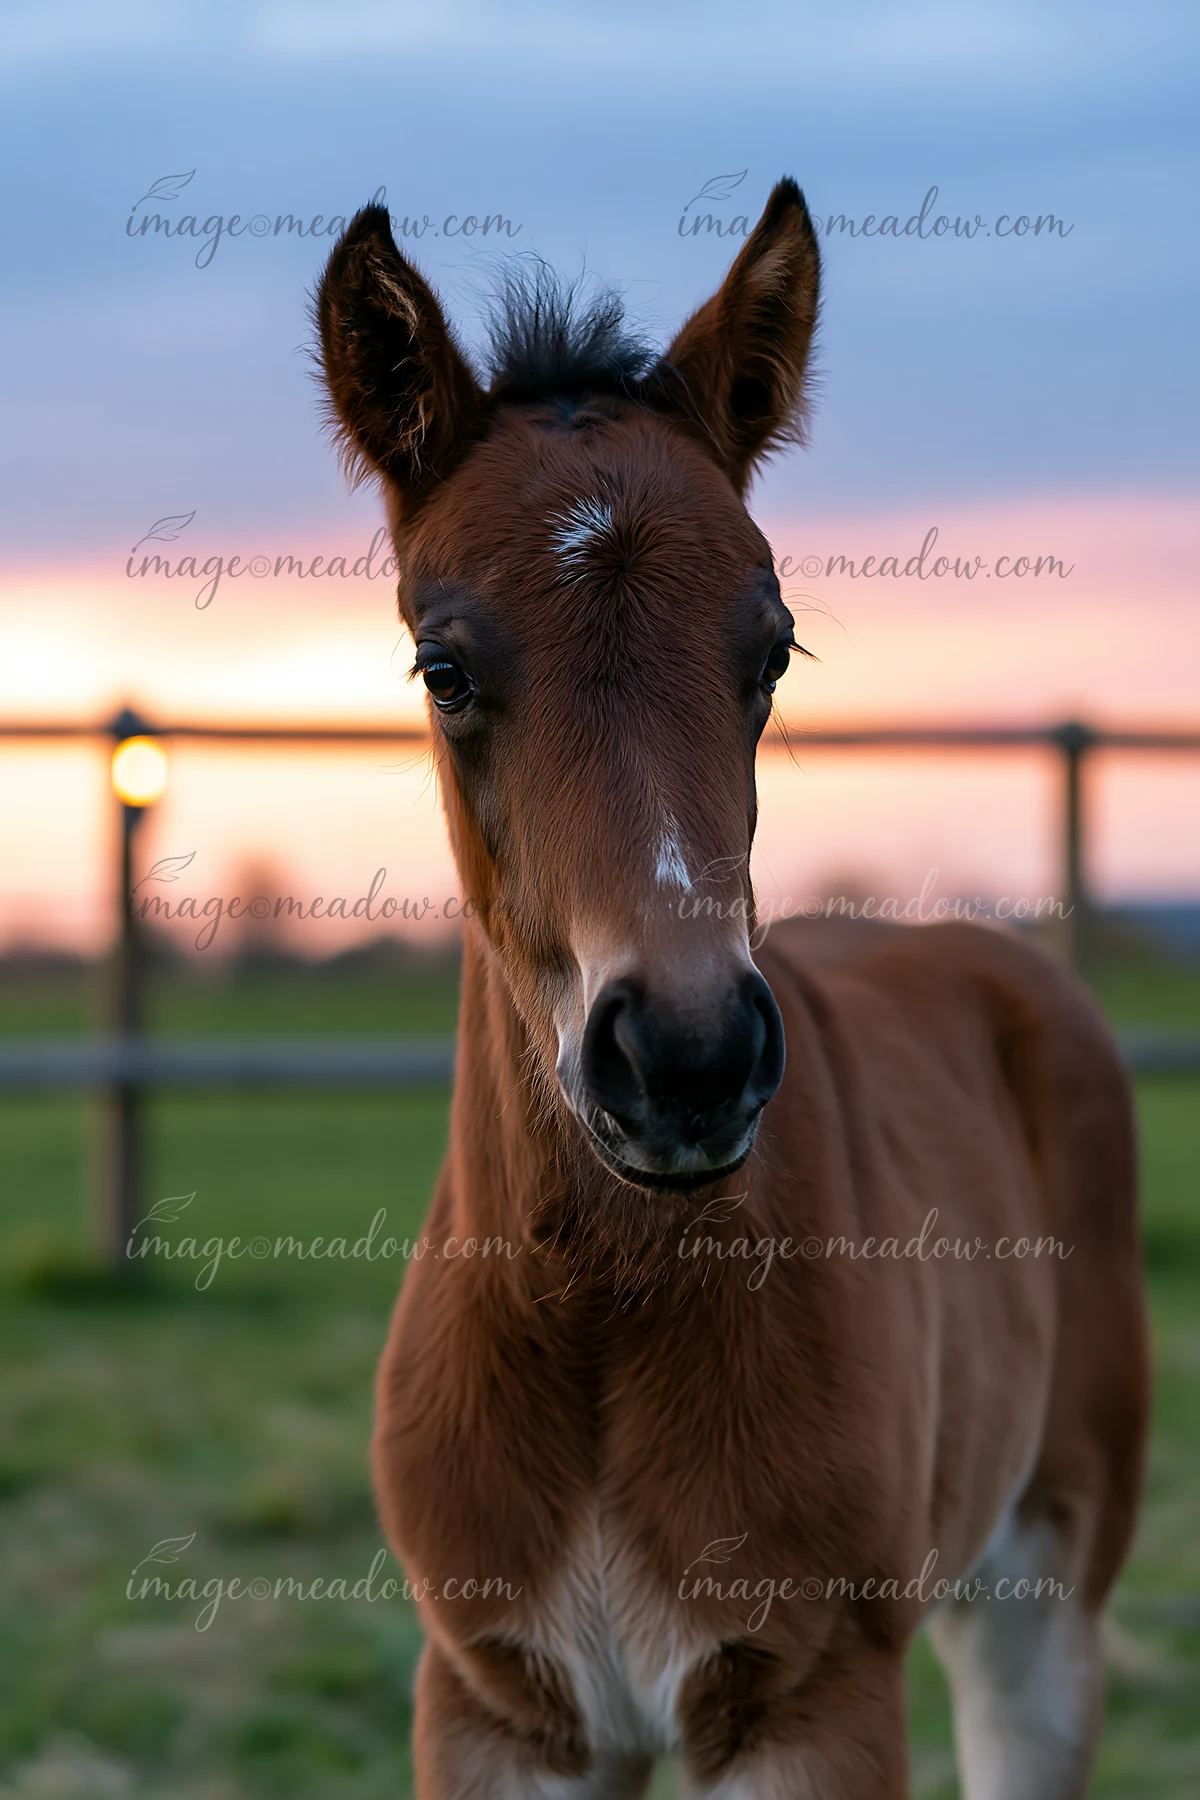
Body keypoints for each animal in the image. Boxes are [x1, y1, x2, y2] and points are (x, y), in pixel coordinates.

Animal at [316, 178, 1149, 1799]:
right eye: (443, 666)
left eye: (772, 648)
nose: (686, 1058)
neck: (595, 1317)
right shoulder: (496, 1705)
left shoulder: (810, 1698)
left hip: (1042, 1595)